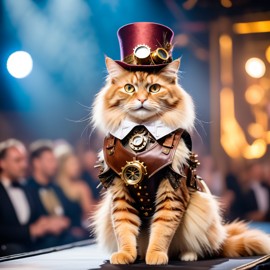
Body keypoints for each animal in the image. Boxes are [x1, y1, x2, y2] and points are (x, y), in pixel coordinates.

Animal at [90, 56, 270, 264]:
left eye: (154, 88)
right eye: (129, 88)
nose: (141, 99)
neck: (141, 130)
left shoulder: (172, 190)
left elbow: (162, 228)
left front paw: (156, 255)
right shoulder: (120, 191)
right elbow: (124, 227)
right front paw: (126, 254)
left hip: (202, 210)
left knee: (203, 248)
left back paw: (188, 255)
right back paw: (140, 254)